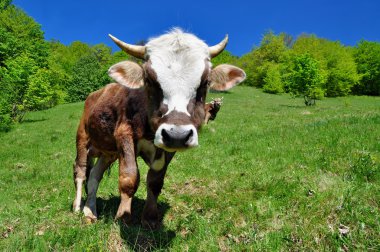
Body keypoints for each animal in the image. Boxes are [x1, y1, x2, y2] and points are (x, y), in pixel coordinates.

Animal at [72, 28, 246, 227]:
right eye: (148, 80)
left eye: (205, 82)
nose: (177, 135)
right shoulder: (124, 134)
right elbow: (129, 176)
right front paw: (123, 216)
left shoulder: (167, 147)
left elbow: (155, 181)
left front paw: (149, 217)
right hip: (82, 138)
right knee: (81, 171)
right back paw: (77, 206)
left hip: (108, 152)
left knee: (94, 176)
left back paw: (90, 210)